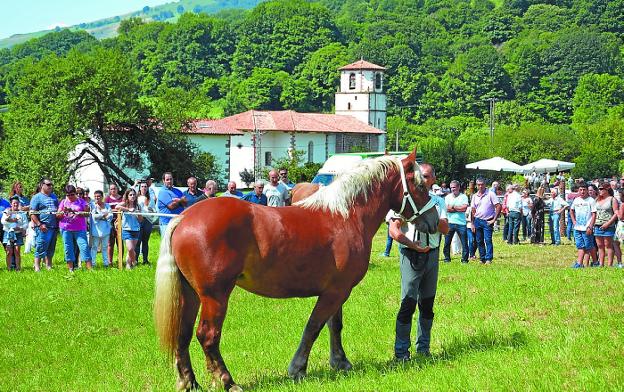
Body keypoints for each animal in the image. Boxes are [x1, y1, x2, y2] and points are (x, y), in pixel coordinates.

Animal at [155, 149, 438, 388]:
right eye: (420, 184)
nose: (435, 220)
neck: (344, 216)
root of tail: (184, 217)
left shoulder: (337, 290)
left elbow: (334, 326)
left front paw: (340, 362)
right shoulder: (335, 293)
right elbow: (313, 327)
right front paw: (298, 368)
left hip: (191, 294)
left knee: (183, 334)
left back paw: (189, 382)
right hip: (215, 296)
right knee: (208, 336)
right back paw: (227, 381)